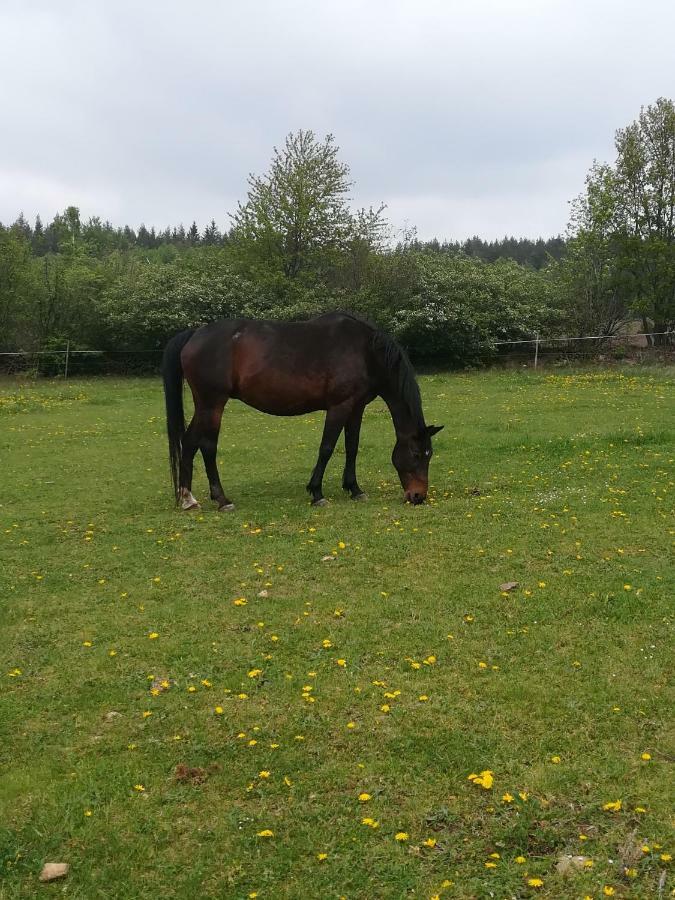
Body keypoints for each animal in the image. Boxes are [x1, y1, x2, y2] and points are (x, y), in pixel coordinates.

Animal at [162, 312, 444, 510]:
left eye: (429, 455)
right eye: (416, 454)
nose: (418, 496)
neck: (365, 352)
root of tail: (194, 334)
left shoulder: (356, 408)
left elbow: (352, 447)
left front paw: (354, 489)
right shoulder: (339, 407)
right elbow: (327, 448)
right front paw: (317, 493)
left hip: (204, 405)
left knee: (189, 442)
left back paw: (188, 499)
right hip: (213, 404)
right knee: (207, 446)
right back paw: (222, 500)